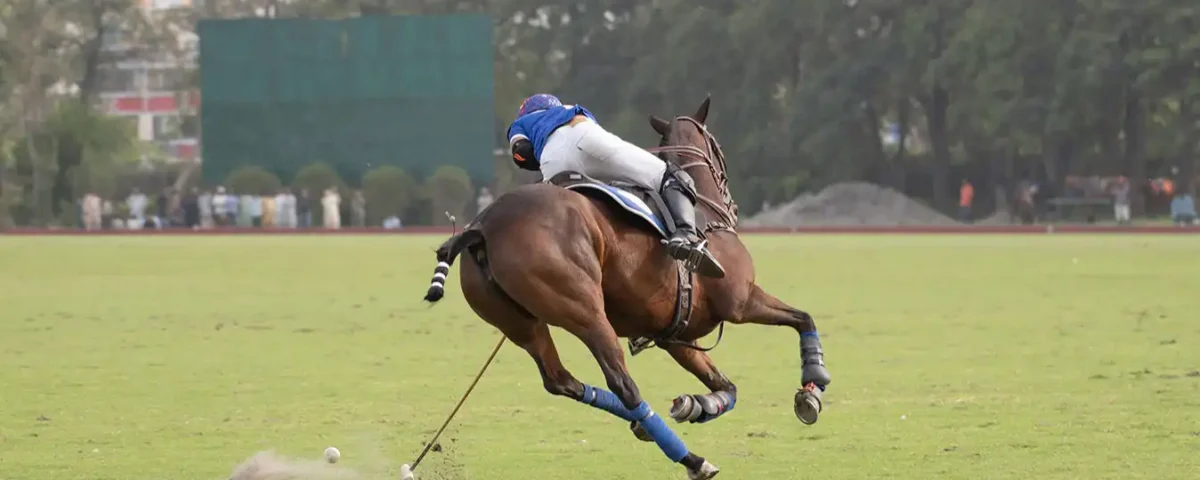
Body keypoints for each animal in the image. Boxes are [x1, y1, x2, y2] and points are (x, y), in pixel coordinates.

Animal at [420, 97, 831, 479]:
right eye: (718, 148)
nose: (731, 205)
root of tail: (482, 226)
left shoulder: (675, 335)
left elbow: (726, 387)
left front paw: (696, 403)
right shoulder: (741, 301)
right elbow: (802, 317)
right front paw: (812, 388)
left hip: (520, 324)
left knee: (561, 381)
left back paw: (646, 426)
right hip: (584, 310)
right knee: (622, 383)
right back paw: (690, 458)